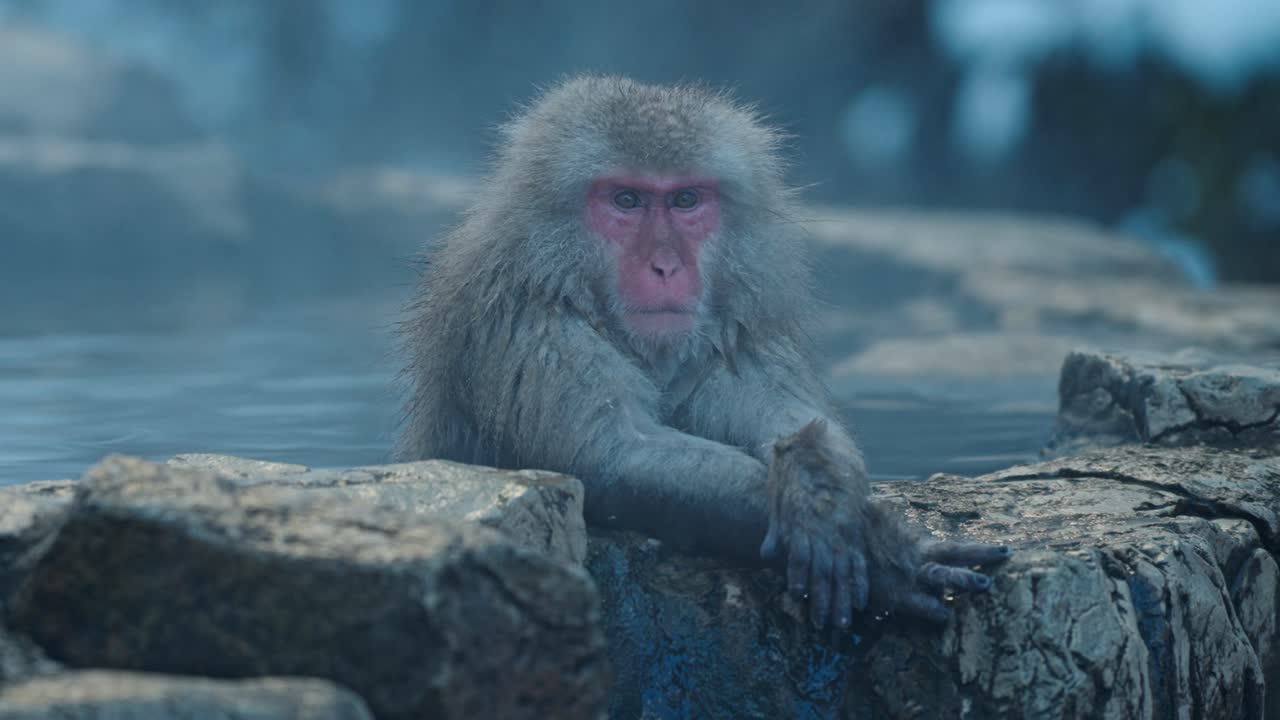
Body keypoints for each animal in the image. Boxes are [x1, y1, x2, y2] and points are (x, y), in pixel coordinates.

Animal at [398, 75, 1010, 629]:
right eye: (626, 200)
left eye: (686, 200)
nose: (666, 266)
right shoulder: (527, 321)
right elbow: (610, 454)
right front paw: (885, 551)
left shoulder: (733, 327)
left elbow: (785, 415)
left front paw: (821, 486)